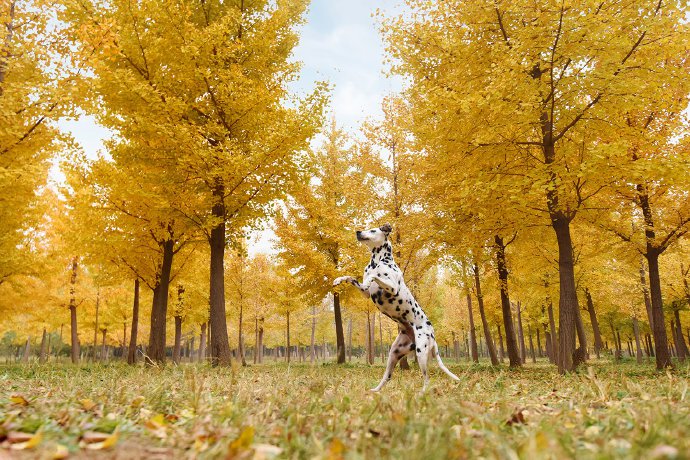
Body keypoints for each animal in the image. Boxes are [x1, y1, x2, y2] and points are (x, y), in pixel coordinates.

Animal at [332, 224, 460, 392]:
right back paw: (375, 391)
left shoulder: (392, 288)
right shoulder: (365, 292)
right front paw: (338, 279)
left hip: (421, 353)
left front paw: (372, 276)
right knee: (387, 377)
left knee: (427, 378)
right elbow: (351, 277)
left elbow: (374, 276)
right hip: (394, 353)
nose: (358, 232)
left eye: (373, 230)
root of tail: (432, 333)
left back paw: (422, 393)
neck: (377, 261)